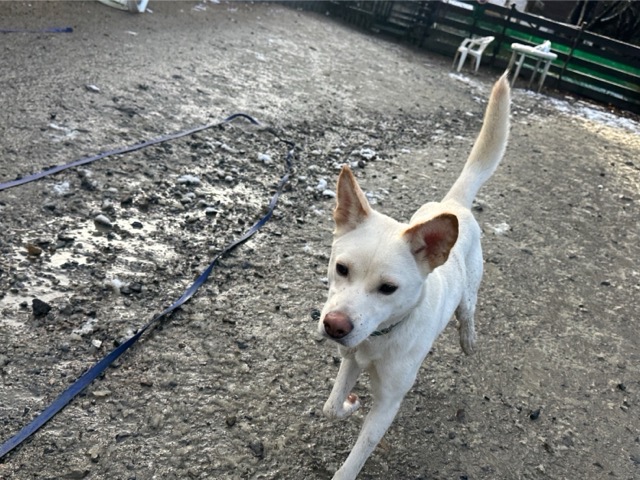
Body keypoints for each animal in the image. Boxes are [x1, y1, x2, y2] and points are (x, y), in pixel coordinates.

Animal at [317, 72, 510, 480]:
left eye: (388, 289)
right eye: (341, 269)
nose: (334, 326)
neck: (381, 336)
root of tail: (453, 204)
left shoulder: (389, 402)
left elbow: (359, 453)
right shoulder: (350, 359)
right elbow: (331, 407)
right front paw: (349, 404)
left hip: (470, 292)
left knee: (467, 314)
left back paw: (468, 340)